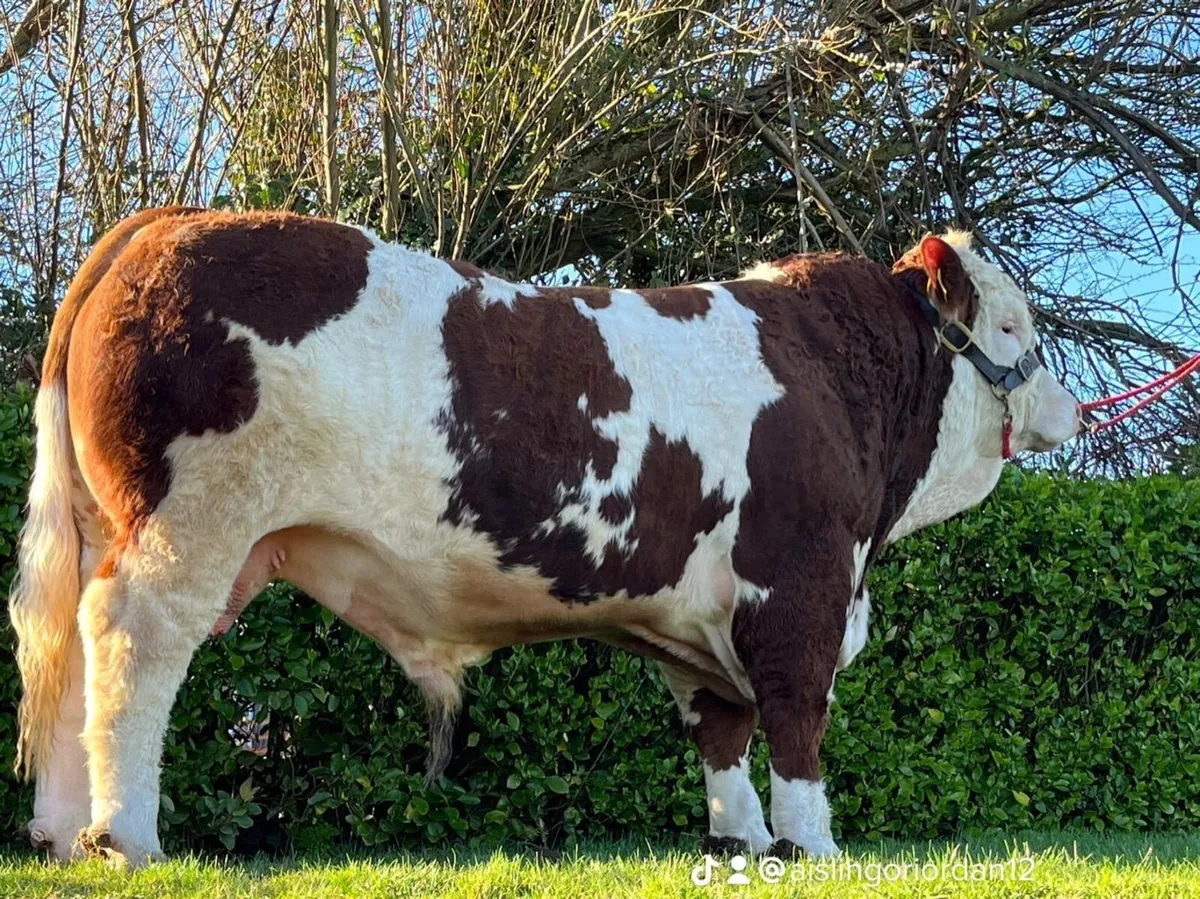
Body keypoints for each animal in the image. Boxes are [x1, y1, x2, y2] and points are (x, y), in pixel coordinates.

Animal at [8, 207, 1080, 867]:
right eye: (1014, 323)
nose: (1069, 406)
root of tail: (167, 220)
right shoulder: (801, 586)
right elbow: (796, 719)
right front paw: (811, 846)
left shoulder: (703, 628)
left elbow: (723, 732)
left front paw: (737, 845)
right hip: (185, 529)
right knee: (129, 649)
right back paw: (124, 835)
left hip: (106, 524)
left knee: (67, 662)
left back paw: (59, 832)